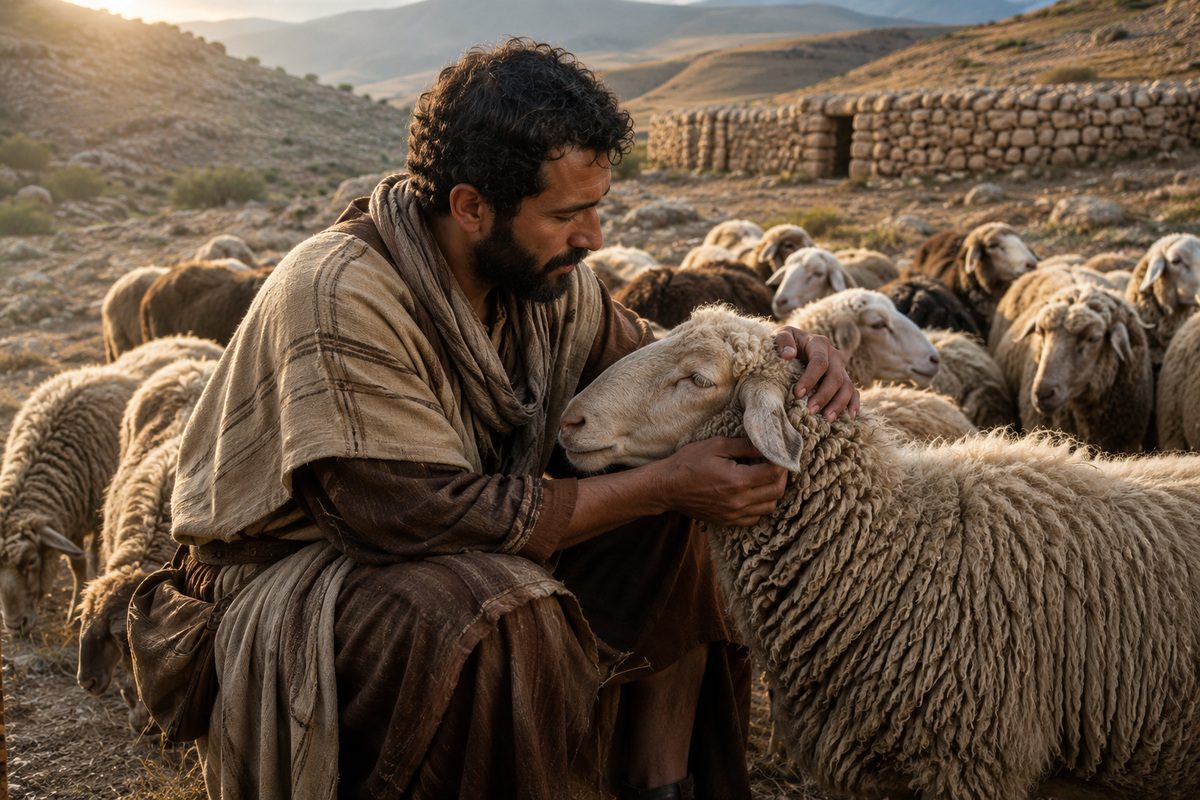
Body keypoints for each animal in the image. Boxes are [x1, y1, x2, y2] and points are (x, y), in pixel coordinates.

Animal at [0, 366, 139, 635]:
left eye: (32, 561)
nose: (15, 627)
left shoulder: (92, 515)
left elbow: (86, 559)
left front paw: (77, 608)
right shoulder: (70, 521)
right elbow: (77, 562)